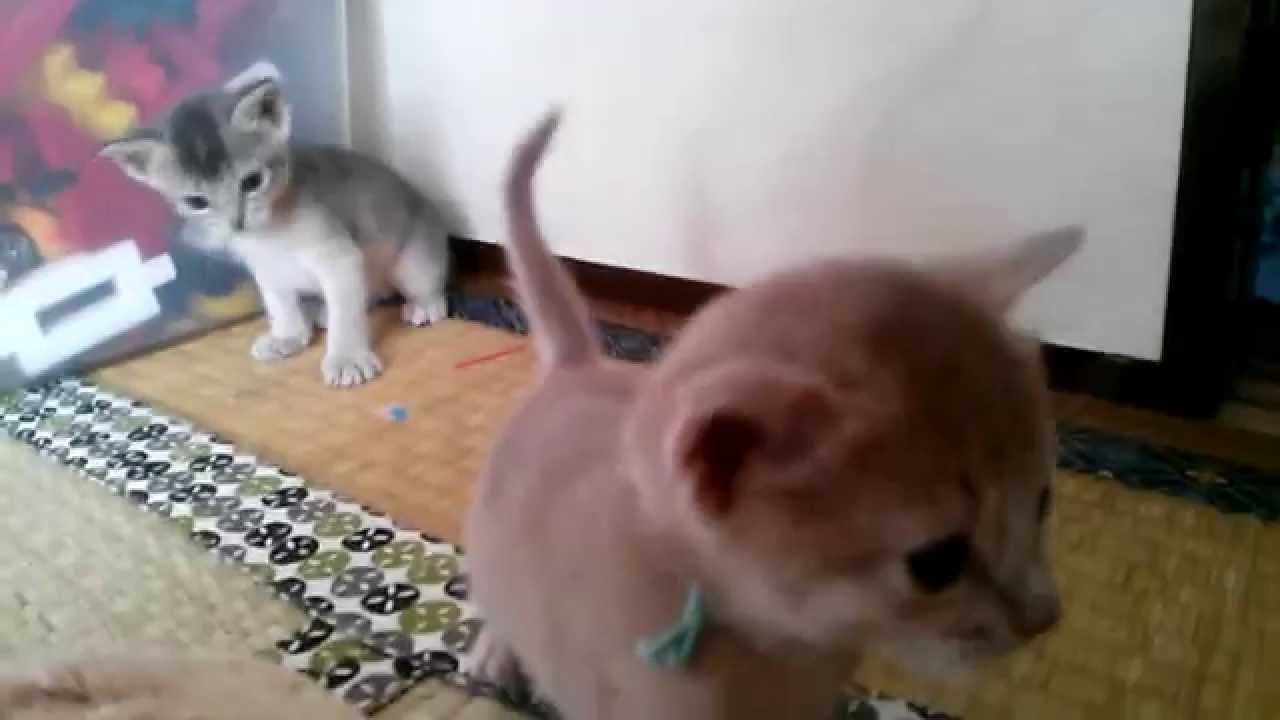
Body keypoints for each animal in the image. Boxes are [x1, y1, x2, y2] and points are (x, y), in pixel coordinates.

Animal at [98, 61, 450, 387]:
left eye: (252, 182)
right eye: (196, 202)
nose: (236, 222)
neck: (270, 232)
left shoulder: (341, 258)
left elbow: (346, 314)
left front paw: (347, 359)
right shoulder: (266, 267)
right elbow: (279, 302)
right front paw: (288, 336)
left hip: (412, 260)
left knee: (422, 284)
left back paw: (423, 305)